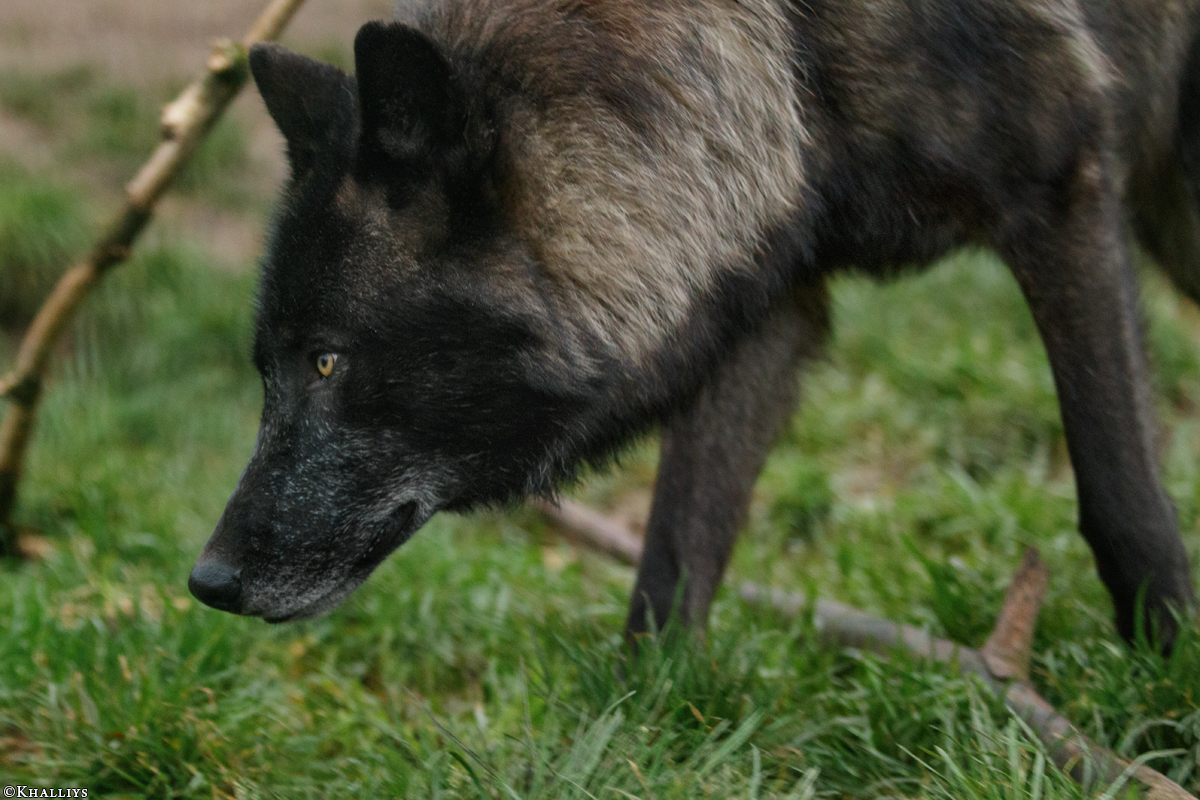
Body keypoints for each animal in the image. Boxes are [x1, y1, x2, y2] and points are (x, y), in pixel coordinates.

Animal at [190, 0, 1199, 648]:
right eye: (266, 371)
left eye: (326, 362)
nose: (207, 580)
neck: (797, 57)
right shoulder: (767, 308)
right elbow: (676, 556)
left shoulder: (1065, 190)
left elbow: (1123, 494)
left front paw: (1163, 670)